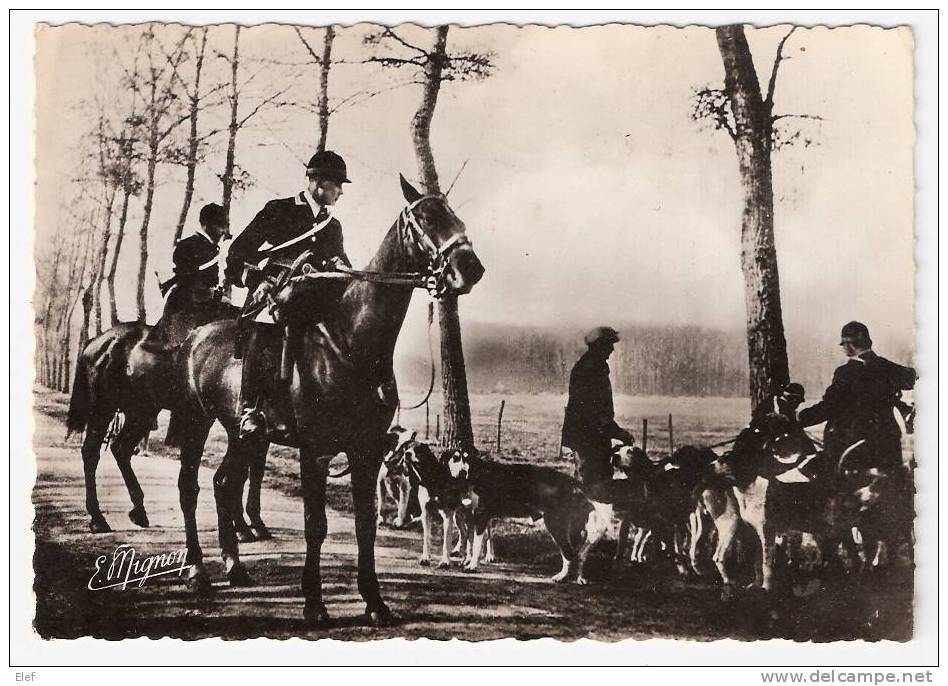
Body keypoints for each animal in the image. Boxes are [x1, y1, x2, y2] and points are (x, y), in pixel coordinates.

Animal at [171, 177, 486, 628]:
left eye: (453, 213)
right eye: (427, 217)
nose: (471, 268)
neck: (352, 344)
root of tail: (195, 336)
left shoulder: (365, 451)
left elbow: (365, 525)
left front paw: (375, 602)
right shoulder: (316, 452)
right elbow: (315, 525)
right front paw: (314, 603)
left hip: (241, 434)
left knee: (224, 484)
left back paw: (234, 566)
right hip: (196, 422)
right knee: (189, 487)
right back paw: (197, 570)